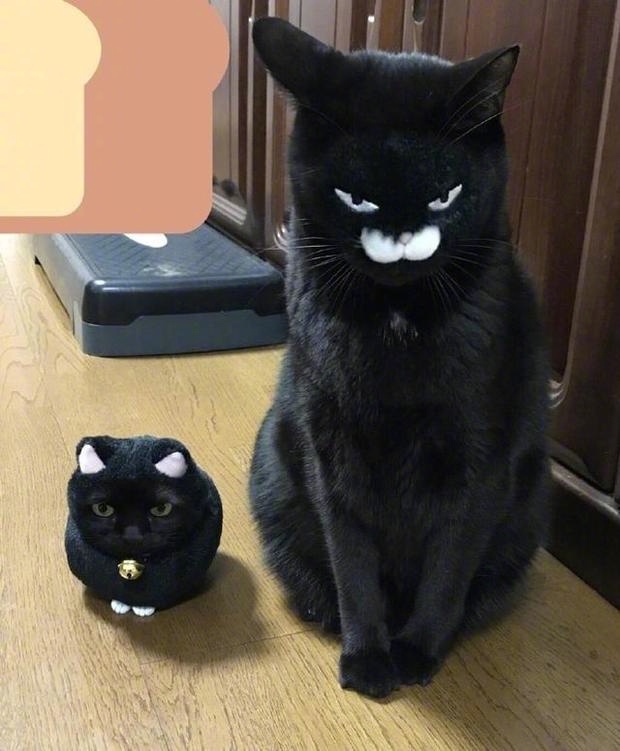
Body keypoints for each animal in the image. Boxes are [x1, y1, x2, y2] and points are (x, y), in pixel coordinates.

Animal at [249, 18, 550, 698]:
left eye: (446, 196)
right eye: (354, 199)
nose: (402, 246)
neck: (395, 323)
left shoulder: (482, 460)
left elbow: (449, 566)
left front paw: (416, 651)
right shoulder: (329, 451)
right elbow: (353, 564)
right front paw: (367, 656)